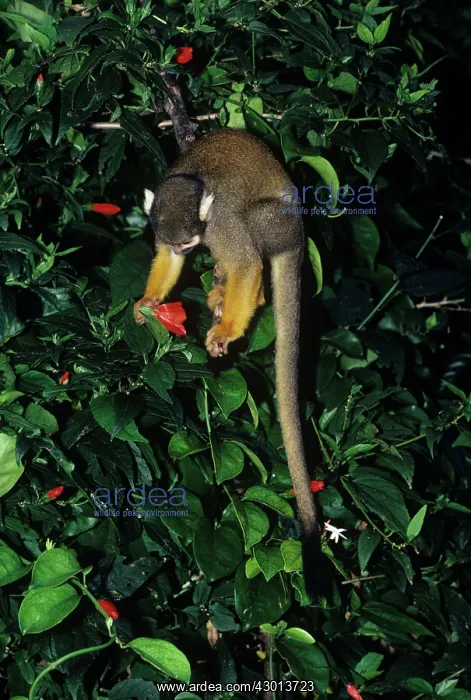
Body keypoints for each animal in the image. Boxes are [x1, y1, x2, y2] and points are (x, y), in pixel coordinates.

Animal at [134, 128, 323, 596]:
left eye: (190, 240)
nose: (185, 247)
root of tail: (298, 239)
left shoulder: (220, 223)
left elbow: (246, 260)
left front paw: (229, 332)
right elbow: (168, 262)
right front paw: (150, 301)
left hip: (277, 226)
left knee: (254, 240)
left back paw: (248, 299)